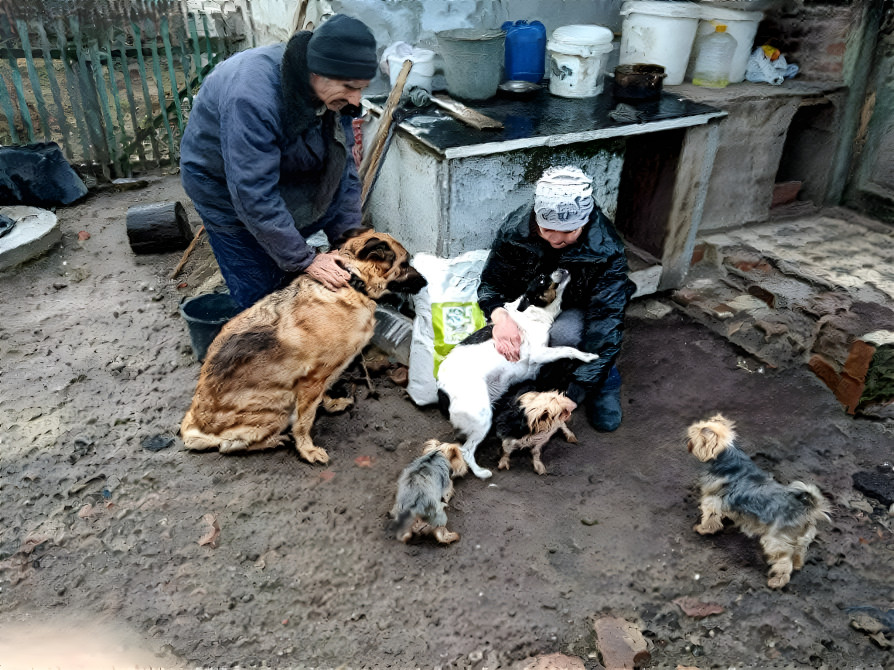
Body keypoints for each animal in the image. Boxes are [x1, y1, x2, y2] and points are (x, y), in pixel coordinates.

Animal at [181, 231, 428, 468]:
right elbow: (304, 420)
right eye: (405, 264)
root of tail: (193, 425)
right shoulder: (312, 379)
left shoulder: (322, 376)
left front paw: (331, 403)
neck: (353, 282)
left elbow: (322, 395)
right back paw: (274, 440)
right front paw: (307, 450)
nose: (426, 282)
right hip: (280, 401)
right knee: (230, 446)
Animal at [438, 270, 600, 480]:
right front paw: (587, 356)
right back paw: (481, 472)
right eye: (542, 279)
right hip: (482, 417)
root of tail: (442, 392)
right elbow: (568, 349)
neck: (531, 313)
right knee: (466, 450)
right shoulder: (540, 353)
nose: (562, 269)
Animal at [688, 414, 836, 588]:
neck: (728, 457)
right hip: (800, 539)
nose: (688, 441)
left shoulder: (712, 501)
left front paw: (703, 529)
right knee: (799, 552)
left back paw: (776, 582)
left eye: (693, 434)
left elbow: (710, 519)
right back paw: (798, 564)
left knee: (784, 563)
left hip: (776, 541)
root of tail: (805, 509)